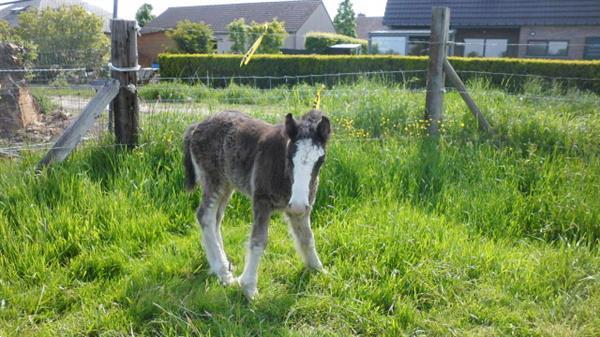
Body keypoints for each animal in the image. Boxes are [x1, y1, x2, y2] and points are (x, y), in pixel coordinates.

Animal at [185, 109, 330, 296]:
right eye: (289, 156)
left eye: (320, 160)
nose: (297, 203)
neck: (281, 172)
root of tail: (196, 126)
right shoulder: (262, 201)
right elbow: (258, 240)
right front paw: (249, 287)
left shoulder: (302, 207)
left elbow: (307, 238)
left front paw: (318, 270)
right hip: (214, 179)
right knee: (205, 216)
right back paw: (223, 272)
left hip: (227, 183)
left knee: (216, 219)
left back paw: (222, 264)